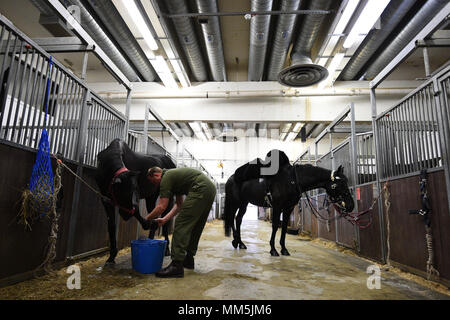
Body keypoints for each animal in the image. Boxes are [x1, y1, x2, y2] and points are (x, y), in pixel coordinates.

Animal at [223, 162, 354, 255]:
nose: (351, 206)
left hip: (243, 203)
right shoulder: (277, 207)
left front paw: (284, 249)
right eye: (340, 184)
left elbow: (284, 227)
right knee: (232, 218)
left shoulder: (288, 208)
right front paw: (273, 250)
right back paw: (236, 242)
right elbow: (275, 226)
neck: (292, 180)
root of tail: (231, 178)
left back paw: (240, 243)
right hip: (235, 202)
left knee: (238, 219)